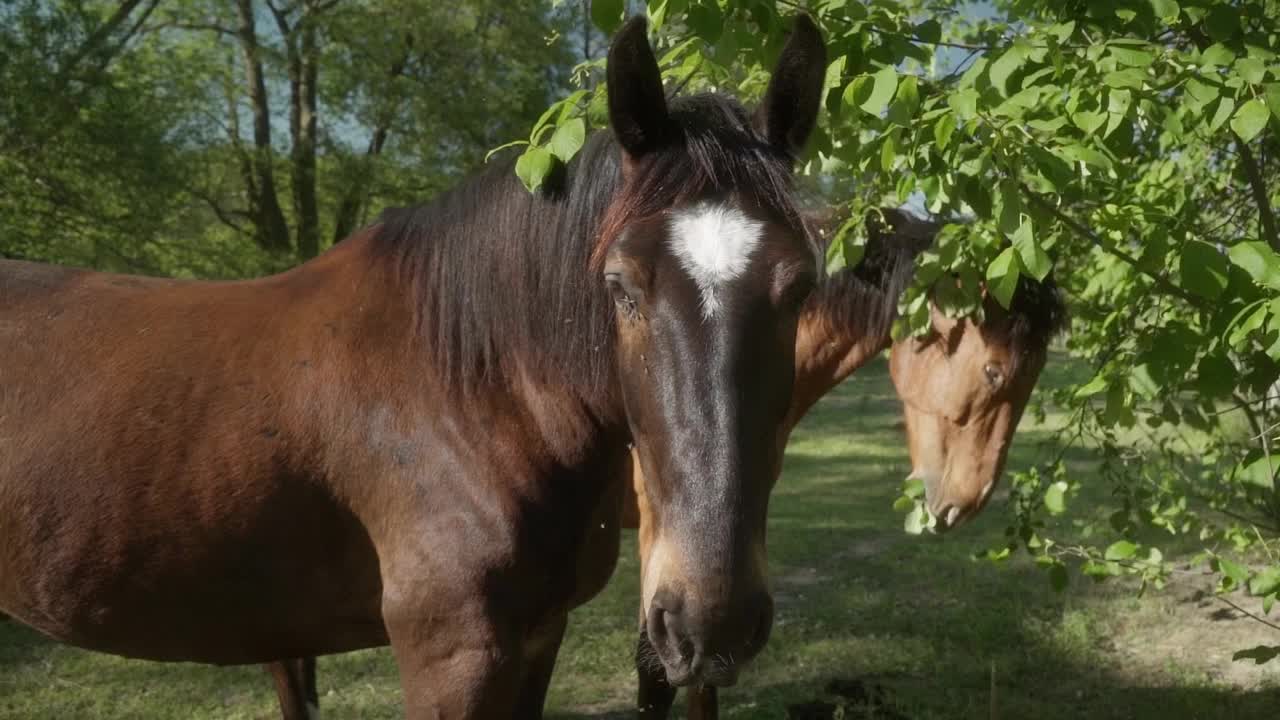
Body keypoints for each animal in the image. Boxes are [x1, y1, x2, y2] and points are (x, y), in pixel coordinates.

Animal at [0, 16, 829, 717]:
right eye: (621, 284)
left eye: (801, 286)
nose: (711, 620)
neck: (469, 388)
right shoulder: (453, 654)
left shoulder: (539, 636)